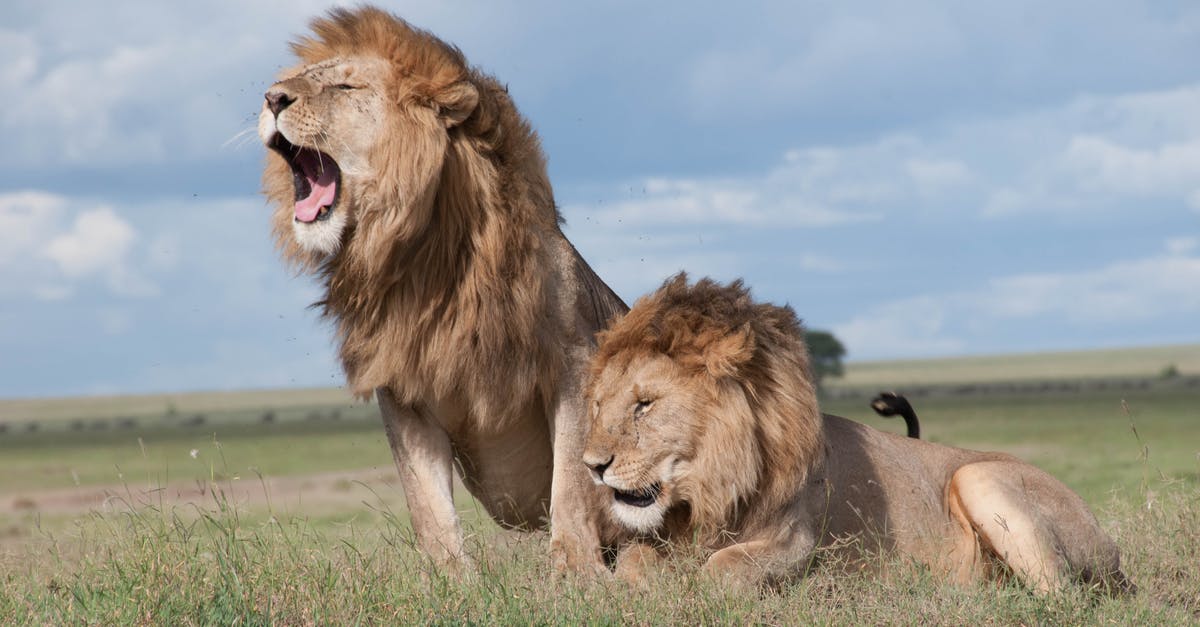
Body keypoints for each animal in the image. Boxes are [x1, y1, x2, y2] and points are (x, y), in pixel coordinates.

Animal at [255, 6, 628, 571]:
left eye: (344, 86)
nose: (272, 97)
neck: (423, 261)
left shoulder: (575, 361)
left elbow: (572, 483)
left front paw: (576, 573)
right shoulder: (401, 386)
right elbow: (427, 504)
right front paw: (451, 579)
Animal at [580, 273, 1132, 590]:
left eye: (645, 405)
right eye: (600, 405)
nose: (592, 467)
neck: (709, 490)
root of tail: (1111, 549)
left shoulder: (798, 542)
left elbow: (722, 569)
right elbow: (633, 562)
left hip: (979, 477)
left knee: (1062, 598)